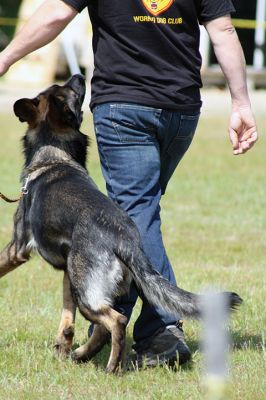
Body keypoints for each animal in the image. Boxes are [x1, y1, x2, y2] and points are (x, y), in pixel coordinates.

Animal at [0, 75, 242, 372]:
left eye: (64, 89)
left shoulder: (18, 247)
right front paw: (62, 348)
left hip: (88, 295)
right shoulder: (68, 273)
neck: (55, 155)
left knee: (117, 321)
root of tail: (124, 239)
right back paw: (82, 355)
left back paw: (111, 367)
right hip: (85, 284)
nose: (79, 76)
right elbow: (67, 321)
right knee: (104, 326)